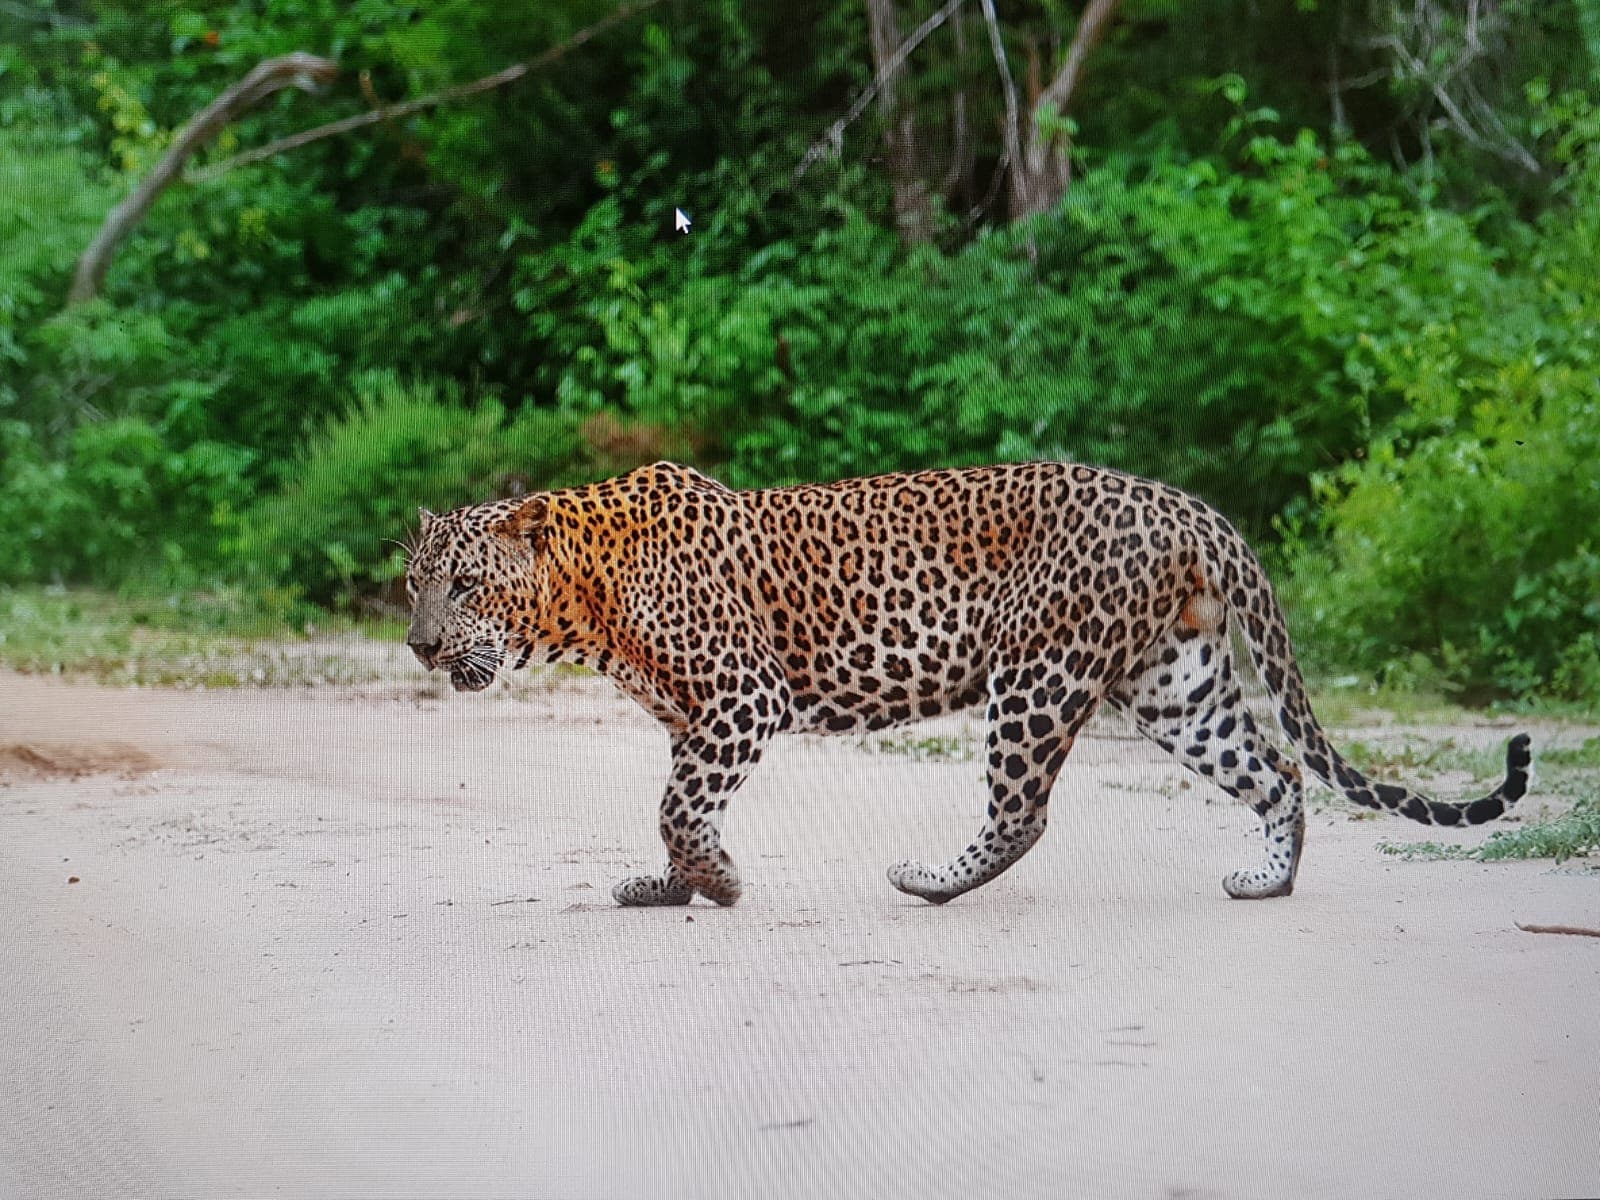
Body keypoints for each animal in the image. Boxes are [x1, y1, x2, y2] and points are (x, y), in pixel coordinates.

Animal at [403, 460, 1532, 908]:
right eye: (414, 585)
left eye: (465, 585)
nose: (416, 646)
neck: (580, 597)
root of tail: (1189, 506)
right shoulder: (695, 720)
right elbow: (678, 809)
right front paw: (672, 888)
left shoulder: (741, 701)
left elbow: (678, 807)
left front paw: (714, 883)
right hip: (1173, 685)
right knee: (1277, 774)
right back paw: (1269, 883)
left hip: (1037, 673)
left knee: (1023, 811)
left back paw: (931, 883)